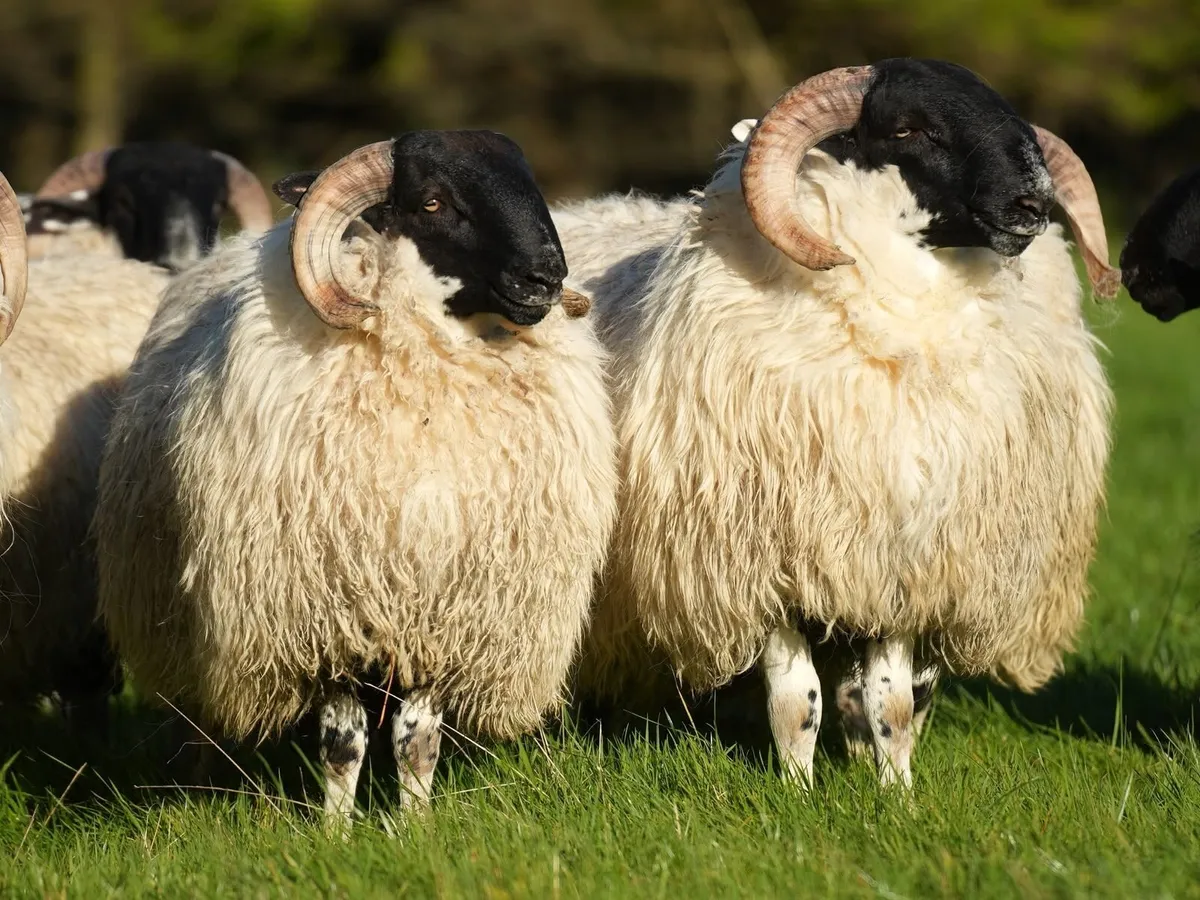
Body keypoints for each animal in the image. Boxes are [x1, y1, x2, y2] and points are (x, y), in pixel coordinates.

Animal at [94, 131, 617, 828]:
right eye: (432, 202)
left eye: (528, 184)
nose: (546, 277)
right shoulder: (328, 616)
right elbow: (343, 744)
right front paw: (336, 832)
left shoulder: (438, 610)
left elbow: (417, 740)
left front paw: (415, 828)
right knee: (201, 719)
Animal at [557, 58, 1116, 791]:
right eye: (908, 129)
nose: (1033, 205)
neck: (904, 330)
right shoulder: (767, 560)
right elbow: (797, 703)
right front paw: (795, 793)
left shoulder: (898, 561)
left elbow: (893, 703)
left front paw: (896, 794)